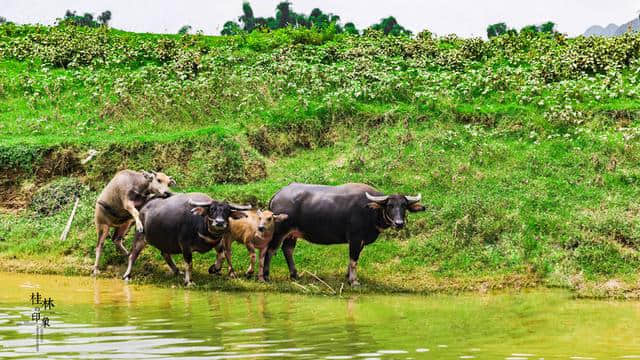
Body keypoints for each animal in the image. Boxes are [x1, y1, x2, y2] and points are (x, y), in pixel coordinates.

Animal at [121, 193, 251, 286]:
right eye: (212, 209)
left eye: (227, 211)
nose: (219, 222)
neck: (202, 227)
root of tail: (143, 209)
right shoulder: (185, 245)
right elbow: (189, 263)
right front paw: (188, 281)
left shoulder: (217, 242)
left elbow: (222, 255)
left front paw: (213, 269)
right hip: (140, 236)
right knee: (132, 255)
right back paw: (127, 275)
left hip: (165, 241)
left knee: (165, 254)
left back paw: (177, 271)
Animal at [264, 184, 424, 286]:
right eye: (390, 205)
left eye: (404, 206)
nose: (399, 223)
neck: (371, 211)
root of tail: (277, 195)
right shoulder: (355, 238)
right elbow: (354, 259)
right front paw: (354, 281)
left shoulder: (360, 241)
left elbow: (353, 259)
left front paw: (348, 276)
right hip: (279, 232)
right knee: (270, 250)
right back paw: (265, 276)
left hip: (292, 234)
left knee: (288, 250)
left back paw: (294, 275)